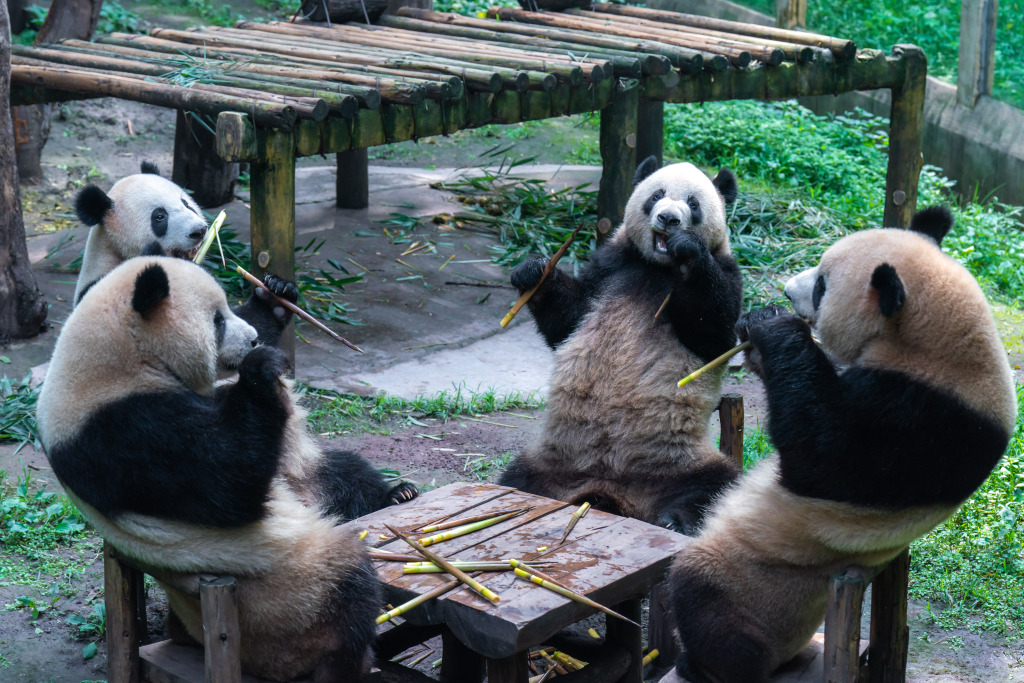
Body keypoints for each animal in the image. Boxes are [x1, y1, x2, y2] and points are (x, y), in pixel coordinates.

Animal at [36, 257, 417, 680]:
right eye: (217, 321)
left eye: (228, 312)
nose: (252, 340)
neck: (117, 361)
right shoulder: (123, 433)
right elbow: (230, 486)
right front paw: (261, 368)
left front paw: (274, 296)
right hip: (284, 600)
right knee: (347, 587)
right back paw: (348, 662)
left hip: (307, 482)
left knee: (342, 473)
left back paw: (397, 493)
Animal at [499, 157, 744, 533]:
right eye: (656, 195)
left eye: (693, 204)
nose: (668, 219)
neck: (657, 266)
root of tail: (609, 491)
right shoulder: (609, 265)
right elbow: (569, 319)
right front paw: (534, 271)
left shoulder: (726, 269)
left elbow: (715, 336)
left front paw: (688, 247)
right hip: (553, 459)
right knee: (518, 478)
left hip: (679, 459)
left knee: (717, 486)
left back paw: (678, 520)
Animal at [666, 207, 1017, 683]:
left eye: (821, 285)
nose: (785, 289)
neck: (936, 344)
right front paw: (754, 326)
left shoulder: (925, 420)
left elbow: (822, 457)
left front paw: (772, 323)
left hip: (754, 584)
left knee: (706, 603)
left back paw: (705, 664)